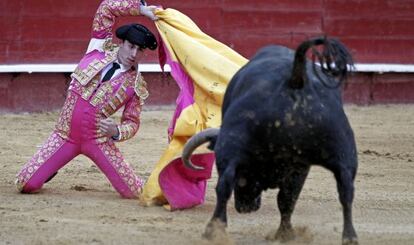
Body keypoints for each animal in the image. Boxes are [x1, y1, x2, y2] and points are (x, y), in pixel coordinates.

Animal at [183, 36, 358, 245]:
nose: (245, 207)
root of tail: (294, 80)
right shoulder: (300, 166)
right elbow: (288, 198)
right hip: (341, 150)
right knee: (344, 190)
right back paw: (345, 237)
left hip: (232, 147)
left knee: (224, 186)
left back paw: (214, 230)